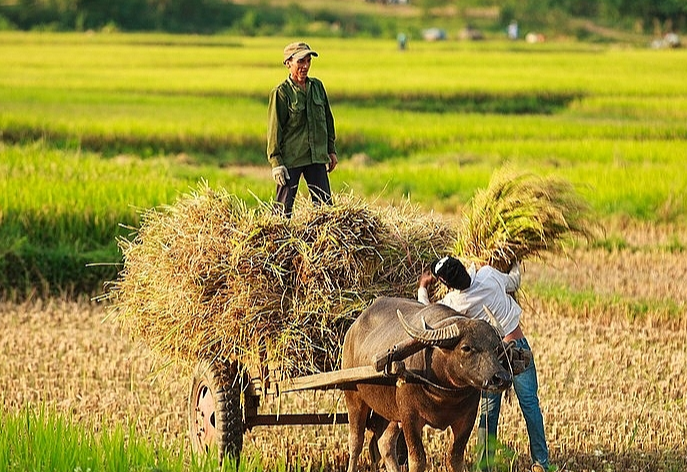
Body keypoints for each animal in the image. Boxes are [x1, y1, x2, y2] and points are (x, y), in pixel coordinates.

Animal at [344, 296, 510, 472]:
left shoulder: (467, 418)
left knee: (385, 443)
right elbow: (418, 461)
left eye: (496, 347)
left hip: (390, 412)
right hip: (354, 398)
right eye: (466, 347)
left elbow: (455, 459)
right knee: (356, 442)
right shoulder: (410, 417)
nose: (502, 378)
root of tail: (351, 331)